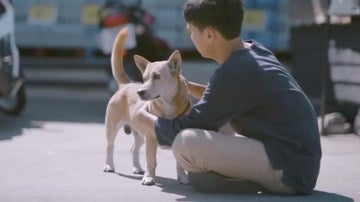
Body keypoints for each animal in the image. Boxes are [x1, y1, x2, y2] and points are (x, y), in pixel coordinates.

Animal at [102, 27, 190, 185]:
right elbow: (151, 161)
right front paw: (149, 177)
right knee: (110, 146)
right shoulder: (150, 139)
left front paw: (182, 177)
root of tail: (127, 84)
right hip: (112, 129)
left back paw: (137, 167)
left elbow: (179, 163)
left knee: (134, 149)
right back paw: (109, 165)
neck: (167, 106)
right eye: (144, 78)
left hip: (139, 135)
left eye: (157, 76)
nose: (140, 92)